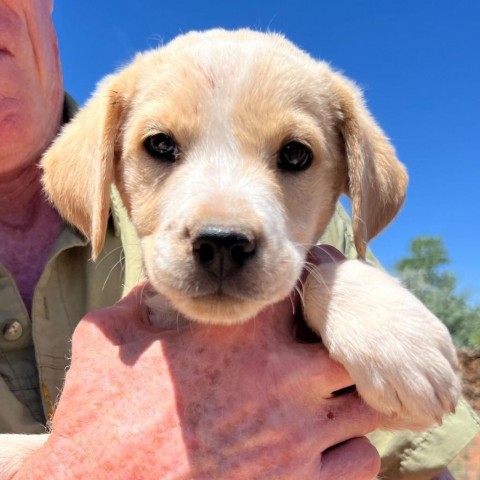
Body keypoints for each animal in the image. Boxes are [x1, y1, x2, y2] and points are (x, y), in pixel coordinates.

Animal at [0, 28, 460, 474]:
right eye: (160, 145)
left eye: (296, 153)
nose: (222, 242)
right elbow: (22, 447)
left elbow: (318, 266)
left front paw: (393, 335)